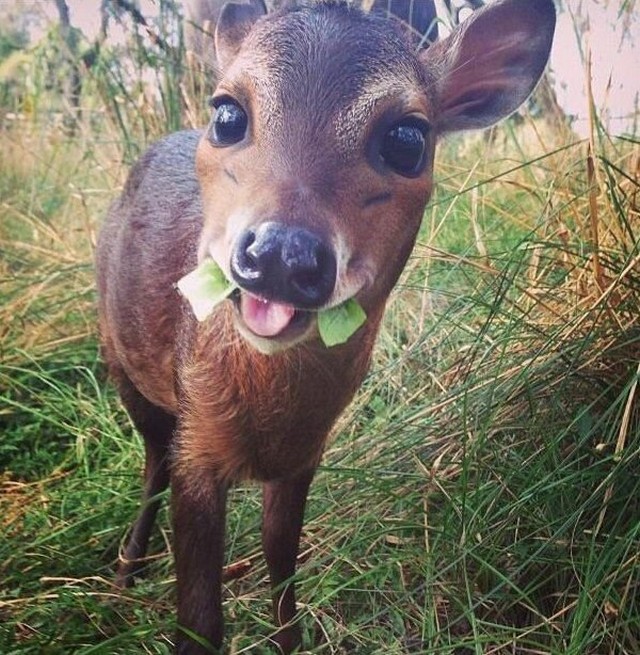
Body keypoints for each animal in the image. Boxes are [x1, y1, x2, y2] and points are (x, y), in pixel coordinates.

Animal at [95, 0, 556, 652]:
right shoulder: (197, 449)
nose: (280, 253)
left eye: (407, 139)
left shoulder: (304, 457)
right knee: (152, 462)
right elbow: (201, 622)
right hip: (122, 360)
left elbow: (282, 567)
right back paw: (123, 576)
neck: (268, 420)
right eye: (228, 113)